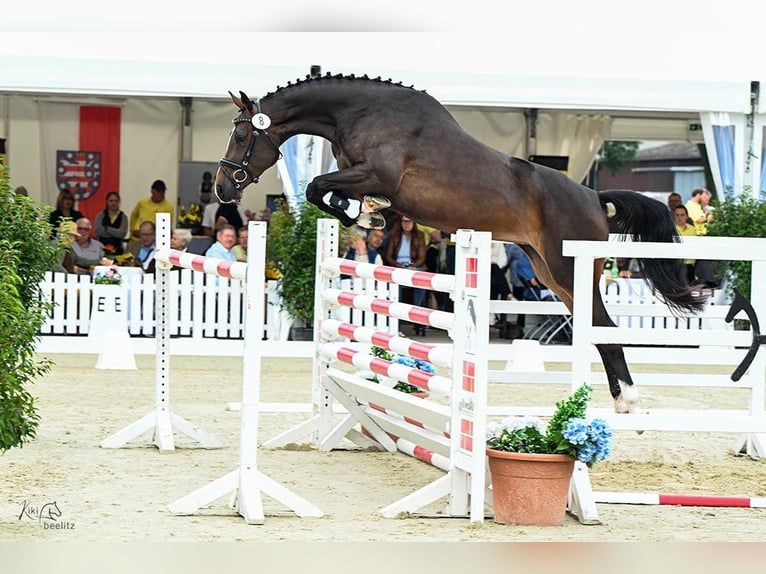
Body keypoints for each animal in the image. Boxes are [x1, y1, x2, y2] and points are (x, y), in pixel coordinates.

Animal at [214, 73, 708, 414]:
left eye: (241, 134)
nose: (221, 189)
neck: (361, 113)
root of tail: (594, 197)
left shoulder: (377, 174)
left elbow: (319, 187)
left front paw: (365, 213)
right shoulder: (359, 175)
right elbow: (324, 192)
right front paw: (369, 213)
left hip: (570, 269)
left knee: (603, 328)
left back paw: (627, 401)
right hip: (548, 272)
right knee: (592, 327)